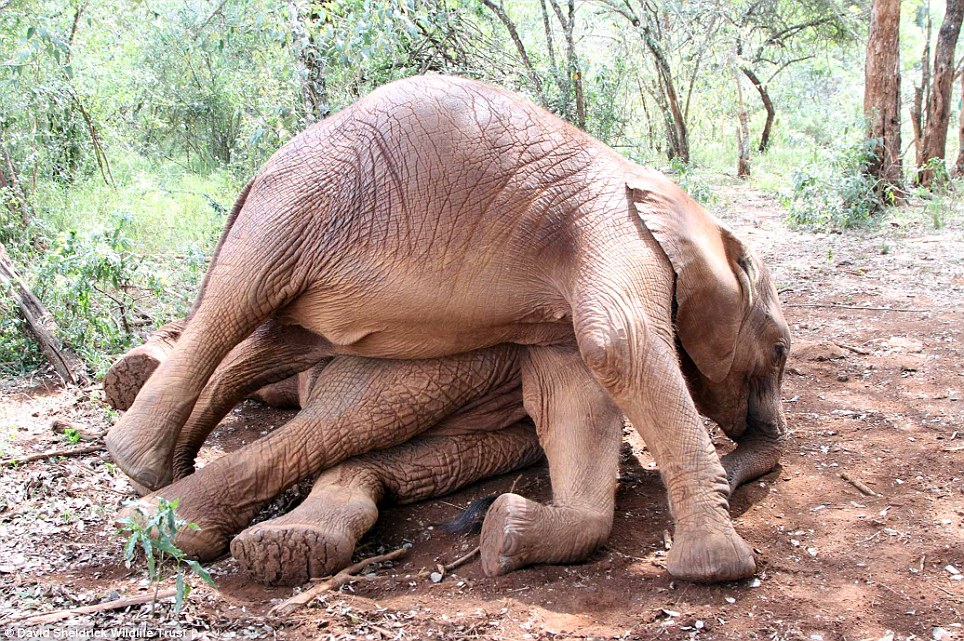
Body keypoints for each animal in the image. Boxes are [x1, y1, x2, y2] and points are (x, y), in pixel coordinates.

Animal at [107, 74, 792, 580]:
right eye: (781, 351)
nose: (743, 455)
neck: (691, 214)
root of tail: (254, 175)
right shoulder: (616, 237)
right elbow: (618, 347)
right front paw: (719, 567)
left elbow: (577, 394)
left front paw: (508, 535)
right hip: (298, 207)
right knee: (244, 302)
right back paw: (144, 476)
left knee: (283, 347)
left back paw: (180, 488)